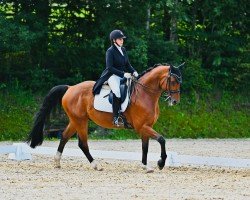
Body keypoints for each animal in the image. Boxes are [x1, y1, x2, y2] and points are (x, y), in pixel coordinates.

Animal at [26, 63, 182, 172]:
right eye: (173, 81)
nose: (175, 102)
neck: (145, 94)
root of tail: (70, 88)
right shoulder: (142, 126)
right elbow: (161, 139)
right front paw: (161, 163)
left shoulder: (146, 127)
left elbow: (145, 147)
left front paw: (146, 166)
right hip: (81, 121)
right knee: (82, 143)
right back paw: (96, 165)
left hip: (75, 120)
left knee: (64, 136)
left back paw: (57, 162)